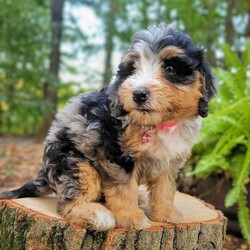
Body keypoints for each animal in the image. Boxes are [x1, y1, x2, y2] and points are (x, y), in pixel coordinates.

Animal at [0, 23, 215, 230]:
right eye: (132, 69)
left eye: (170, 69)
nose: (138, 94)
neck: (158, 123)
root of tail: (44, 173)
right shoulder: (116, 153)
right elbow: (124, 187)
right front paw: (130, 217)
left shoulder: (169, 160)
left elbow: (165, 188)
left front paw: (166, 214)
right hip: (75, 165)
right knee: (70, 202)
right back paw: (94, 214)